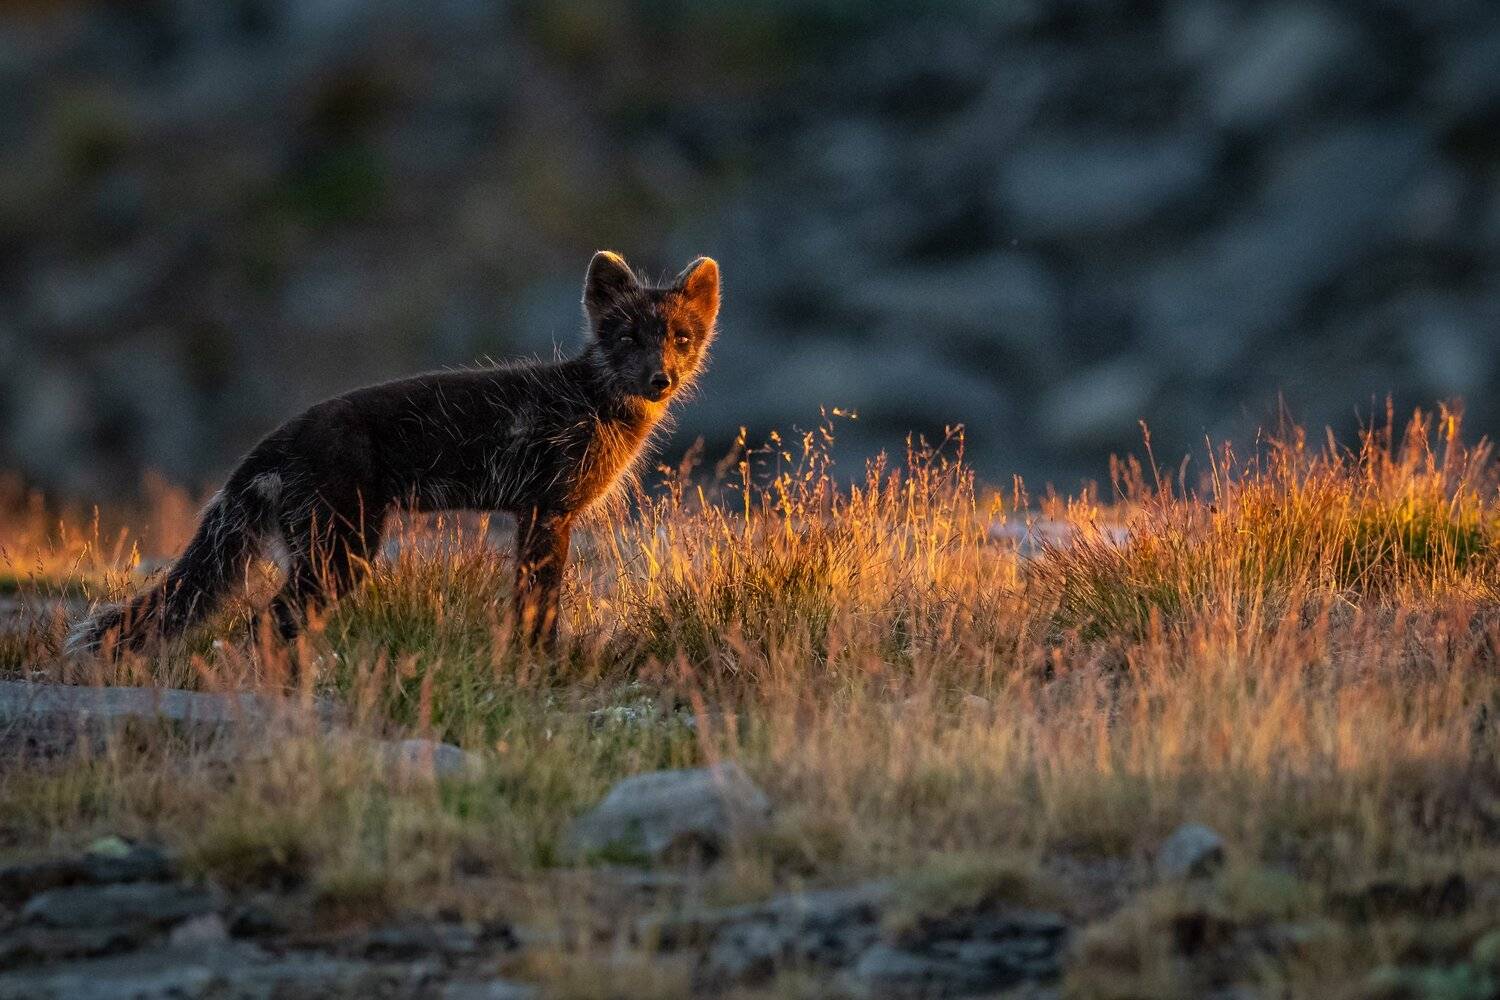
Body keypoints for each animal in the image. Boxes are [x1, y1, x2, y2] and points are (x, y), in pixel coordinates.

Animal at [67, 251, 720, 656]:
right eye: (628, 337)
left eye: (681, 338)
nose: (661, 378)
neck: (589, 402)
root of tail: (271, 443)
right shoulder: (549, 509)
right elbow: (541, 605)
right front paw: (541, 665)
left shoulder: (535, 514)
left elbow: (528, 604)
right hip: (341, 551)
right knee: (263, 624)